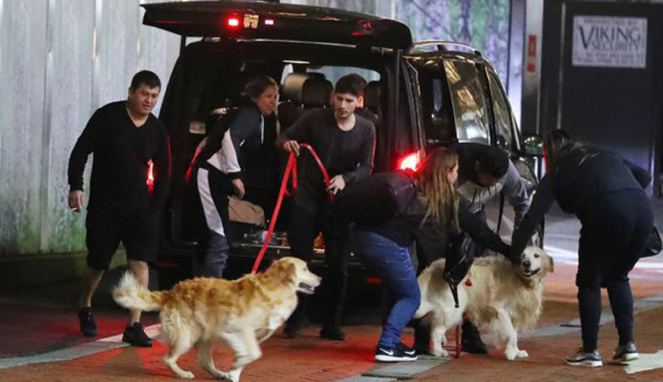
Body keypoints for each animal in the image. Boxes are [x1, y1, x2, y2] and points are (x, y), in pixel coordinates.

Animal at [114, 258, 322, 380]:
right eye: (305, 269)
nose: (320, 278)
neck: (275, 287)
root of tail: (170, 292)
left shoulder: (252, 334)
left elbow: (248, 355)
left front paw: (234, 372)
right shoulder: (238, 327)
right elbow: (254, 353)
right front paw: (235, 369)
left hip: (204, 336)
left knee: (205, 361)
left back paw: (219, 373)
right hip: (186, 336)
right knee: (168, 359)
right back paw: (183, 373)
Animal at [418, 246, 552, 360]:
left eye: (536, 255)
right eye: (523, 256)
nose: (526, 263)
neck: (523, 281)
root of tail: (433, 268)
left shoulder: (514, 314)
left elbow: (514, 334)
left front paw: (517, 351)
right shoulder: (500, 310)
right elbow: (511, 334)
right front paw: (511, 353)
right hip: (453, 308)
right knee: (436, 330)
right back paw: (438, 351)